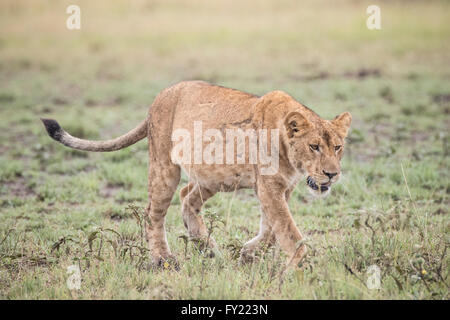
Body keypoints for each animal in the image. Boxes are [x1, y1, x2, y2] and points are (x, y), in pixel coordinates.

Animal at [41, 80, 352, 268]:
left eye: (337, 147)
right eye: (314, 146)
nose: (332, 174)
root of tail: (160, 97)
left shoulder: (281, 188)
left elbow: (271, 229)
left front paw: (248, 253)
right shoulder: (269, 186)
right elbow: (287, 229)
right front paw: (300, 266)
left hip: (212, 175)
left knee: (187, 197)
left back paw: (206, 246)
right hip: (164, 166)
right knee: (154, 212)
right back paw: (164, 259)